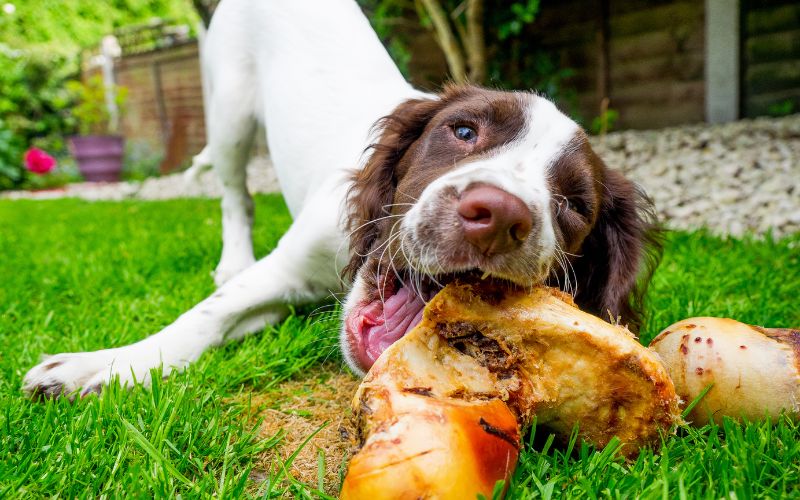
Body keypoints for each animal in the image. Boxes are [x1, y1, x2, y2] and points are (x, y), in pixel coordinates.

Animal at [21, 0, 660, 398]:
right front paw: (96, 367)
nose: (499, 216)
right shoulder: (287, 266)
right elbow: (203, 318)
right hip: (227, 109)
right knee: (233, 193)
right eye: (463, 131)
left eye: (573, 204)